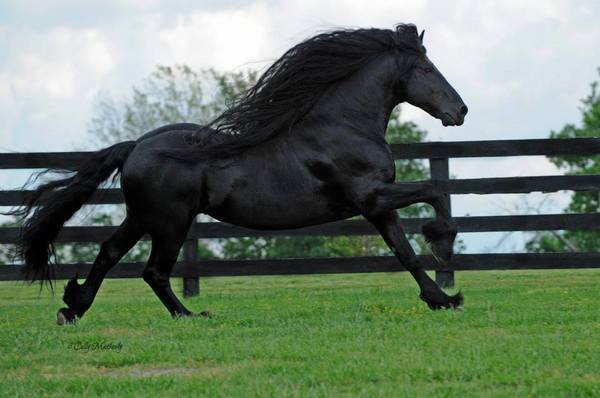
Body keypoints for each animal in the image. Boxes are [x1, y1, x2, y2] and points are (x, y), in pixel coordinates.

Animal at [11, 24, 466, 324]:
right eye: (427, 69)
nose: (460, 110)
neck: (343, 125)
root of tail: (136, 146)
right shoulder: (372, 196)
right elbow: (435, 190)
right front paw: (442, 247)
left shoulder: (376, 205)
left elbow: (404, 252)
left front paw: (442, 299)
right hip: (171, 223)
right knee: (153, 271)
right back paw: (190, 315)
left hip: (140, 218)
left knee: (108, 254)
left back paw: (73, 307)